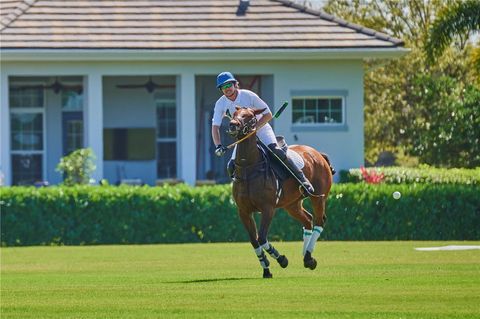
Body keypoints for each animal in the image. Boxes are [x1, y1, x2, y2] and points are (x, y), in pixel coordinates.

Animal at [227, 107, 332, 278]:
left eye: (249, 116)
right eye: (234, 114)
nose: (233, 125)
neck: (249, 168)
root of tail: (318, 154)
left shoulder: (268, 208)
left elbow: (262, 237)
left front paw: (282, 259)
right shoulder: (243, 211)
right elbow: (254, 240)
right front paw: (266, 269)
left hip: (319, 197)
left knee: (319, 221)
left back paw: (309, 257)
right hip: (292, 204)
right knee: (307, 220)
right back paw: (305, 257)